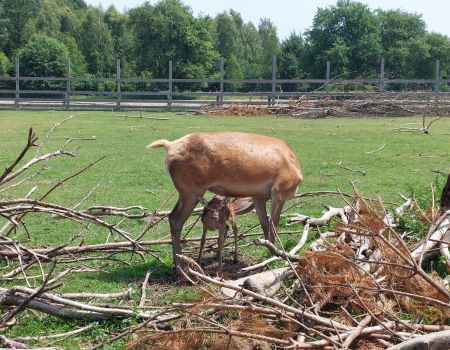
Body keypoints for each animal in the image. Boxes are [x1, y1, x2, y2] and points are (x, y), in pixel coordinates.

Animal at [148, 132, 302, 270]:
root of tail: (170, 146)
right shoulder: (279, 193)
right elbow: (274, 224)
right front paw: (275, 257)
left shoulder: (258, 197)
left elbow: (264, 224)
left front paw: (269, 253)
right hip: (190, 193)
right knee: (176, 220)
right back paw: (181, 265)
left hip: (185, 193)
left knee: (171, 216)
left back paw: (176, 262)